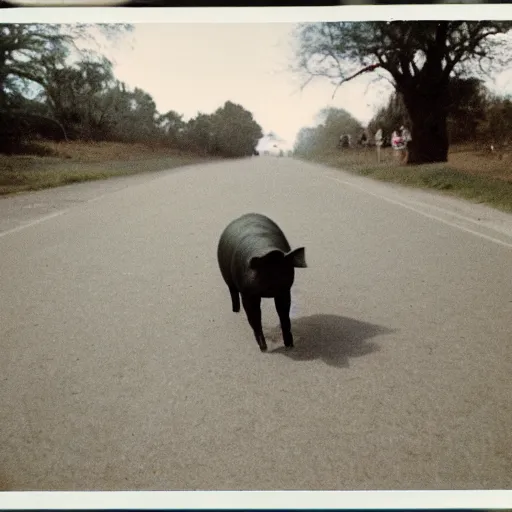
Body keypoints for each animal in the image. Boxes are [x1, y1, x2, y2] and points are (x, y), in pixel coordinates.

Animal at [217, 212, 306, 352]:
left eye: (281, 270)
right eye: (265, 270)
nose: (272, 252)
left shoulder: (285, 290)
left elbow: (284, 315)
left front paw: (290, 346)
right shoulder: (247, 293)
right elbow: (254, 317)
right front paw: (264, 348)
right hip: (227, 278)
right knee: (233, 292)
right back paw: (235, 311)